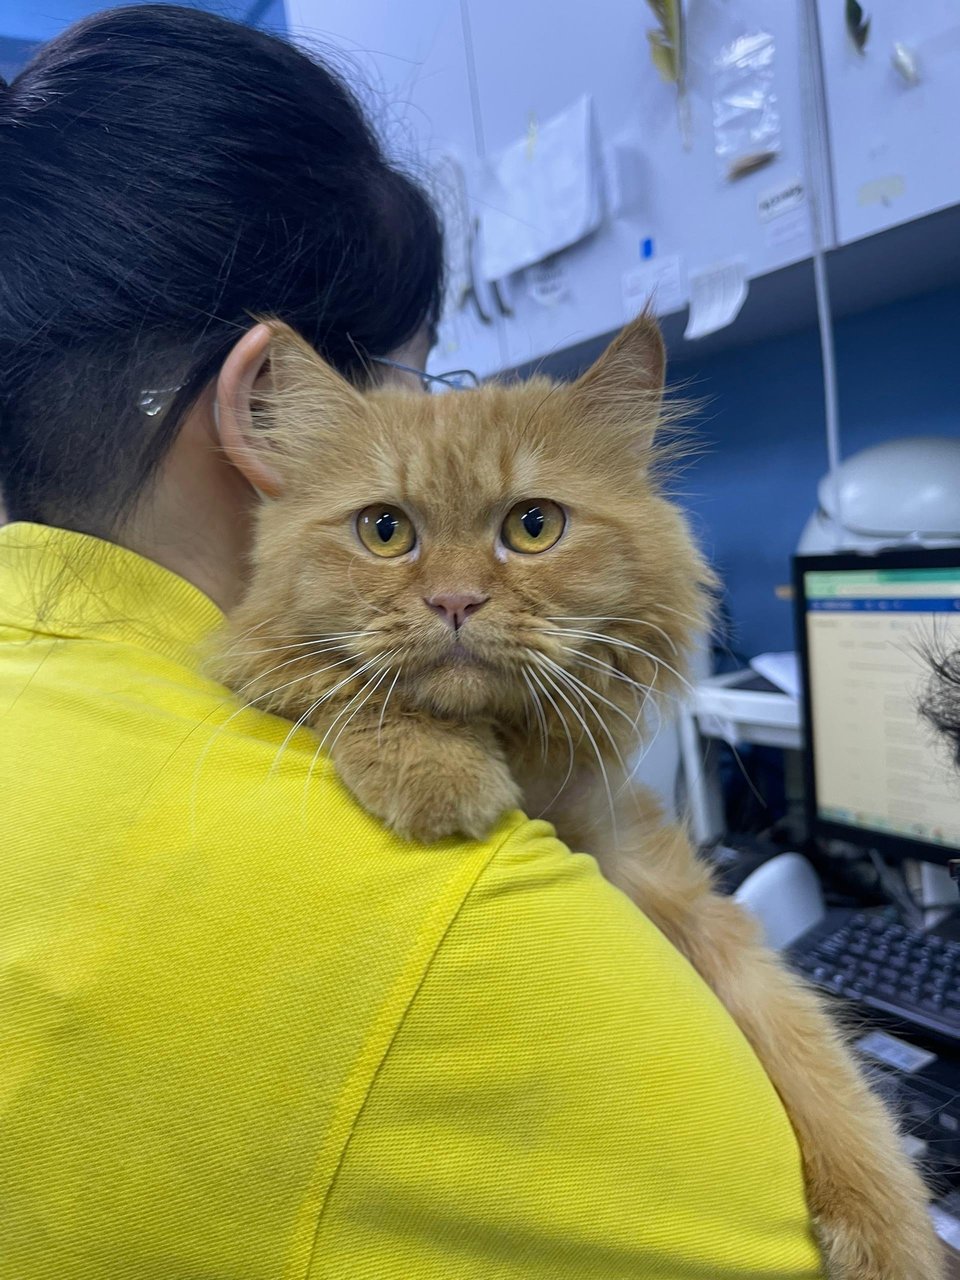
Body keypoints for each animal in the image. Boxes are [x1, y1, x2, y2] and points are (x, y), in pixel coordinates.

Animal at [217, 312, 947, 1280]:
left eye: (533, 527)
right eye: (384, 531)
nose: (455, 601)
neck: (523, 759)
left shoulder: (667, 888)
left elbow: (812, 1054)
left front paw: (892, 1231)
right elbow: (343, 686)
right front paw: (436, 772)